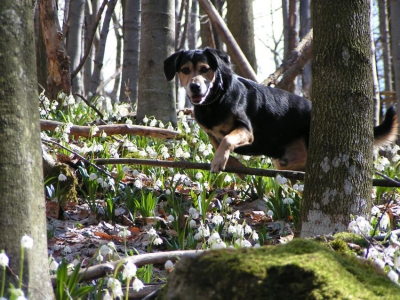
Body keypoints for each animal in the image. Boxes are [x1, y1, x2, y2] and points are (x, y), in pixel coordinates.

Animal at [163, 47, 396, 173]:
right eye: (185, 70)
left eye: (205, 69)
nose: (195, 87)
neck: (215, 100)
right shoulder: (210, 131)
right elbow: (217, 142)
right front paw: (232, 163)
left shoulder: (246, 130)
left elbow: (227, 140)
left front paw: (220, 161)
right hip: (286, 165)